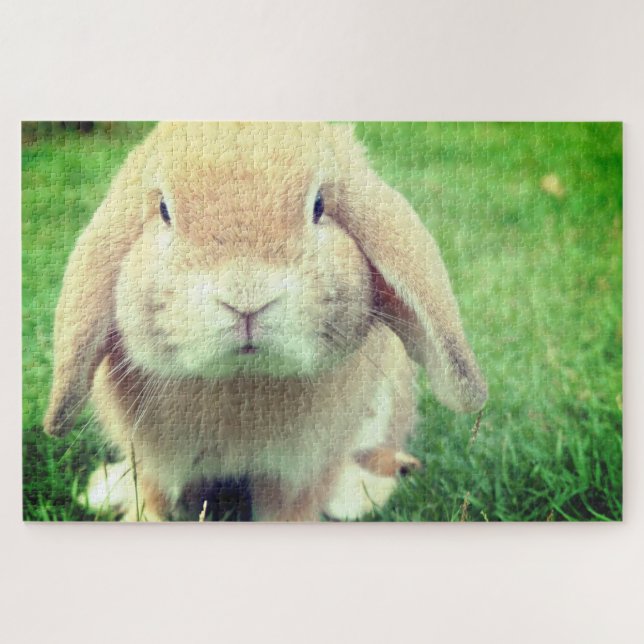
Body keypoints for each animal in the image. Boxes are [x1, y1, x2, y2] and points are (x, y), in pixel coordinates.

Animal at [44, 122, 487, 521]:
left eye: (319, 206)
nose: (246, 298)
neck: (242, 380)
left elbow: (292, 507)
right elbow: (155, 498)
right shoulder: (152, 457)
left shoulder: (302, 468)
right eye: (164, 211)